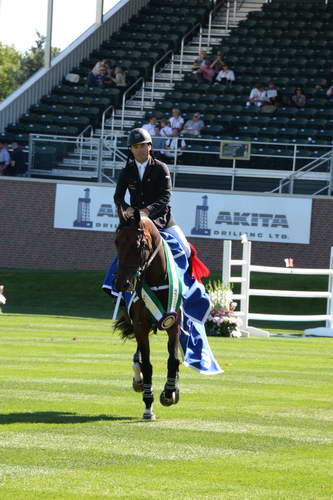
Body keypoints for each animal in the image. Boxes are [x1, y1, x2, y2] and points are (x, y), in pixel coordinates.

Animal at [115, 209, 182, 420]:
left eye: (139, 244)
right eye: (116, 242)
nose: (123, 284)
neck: (156, 278)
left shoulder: (173, 322)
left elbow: (173, 360)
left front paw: (169, 392)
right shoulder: (140, 326)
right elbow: (147, 365)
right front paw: (148, 404)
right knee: (138, 357)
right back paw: (138, 379)